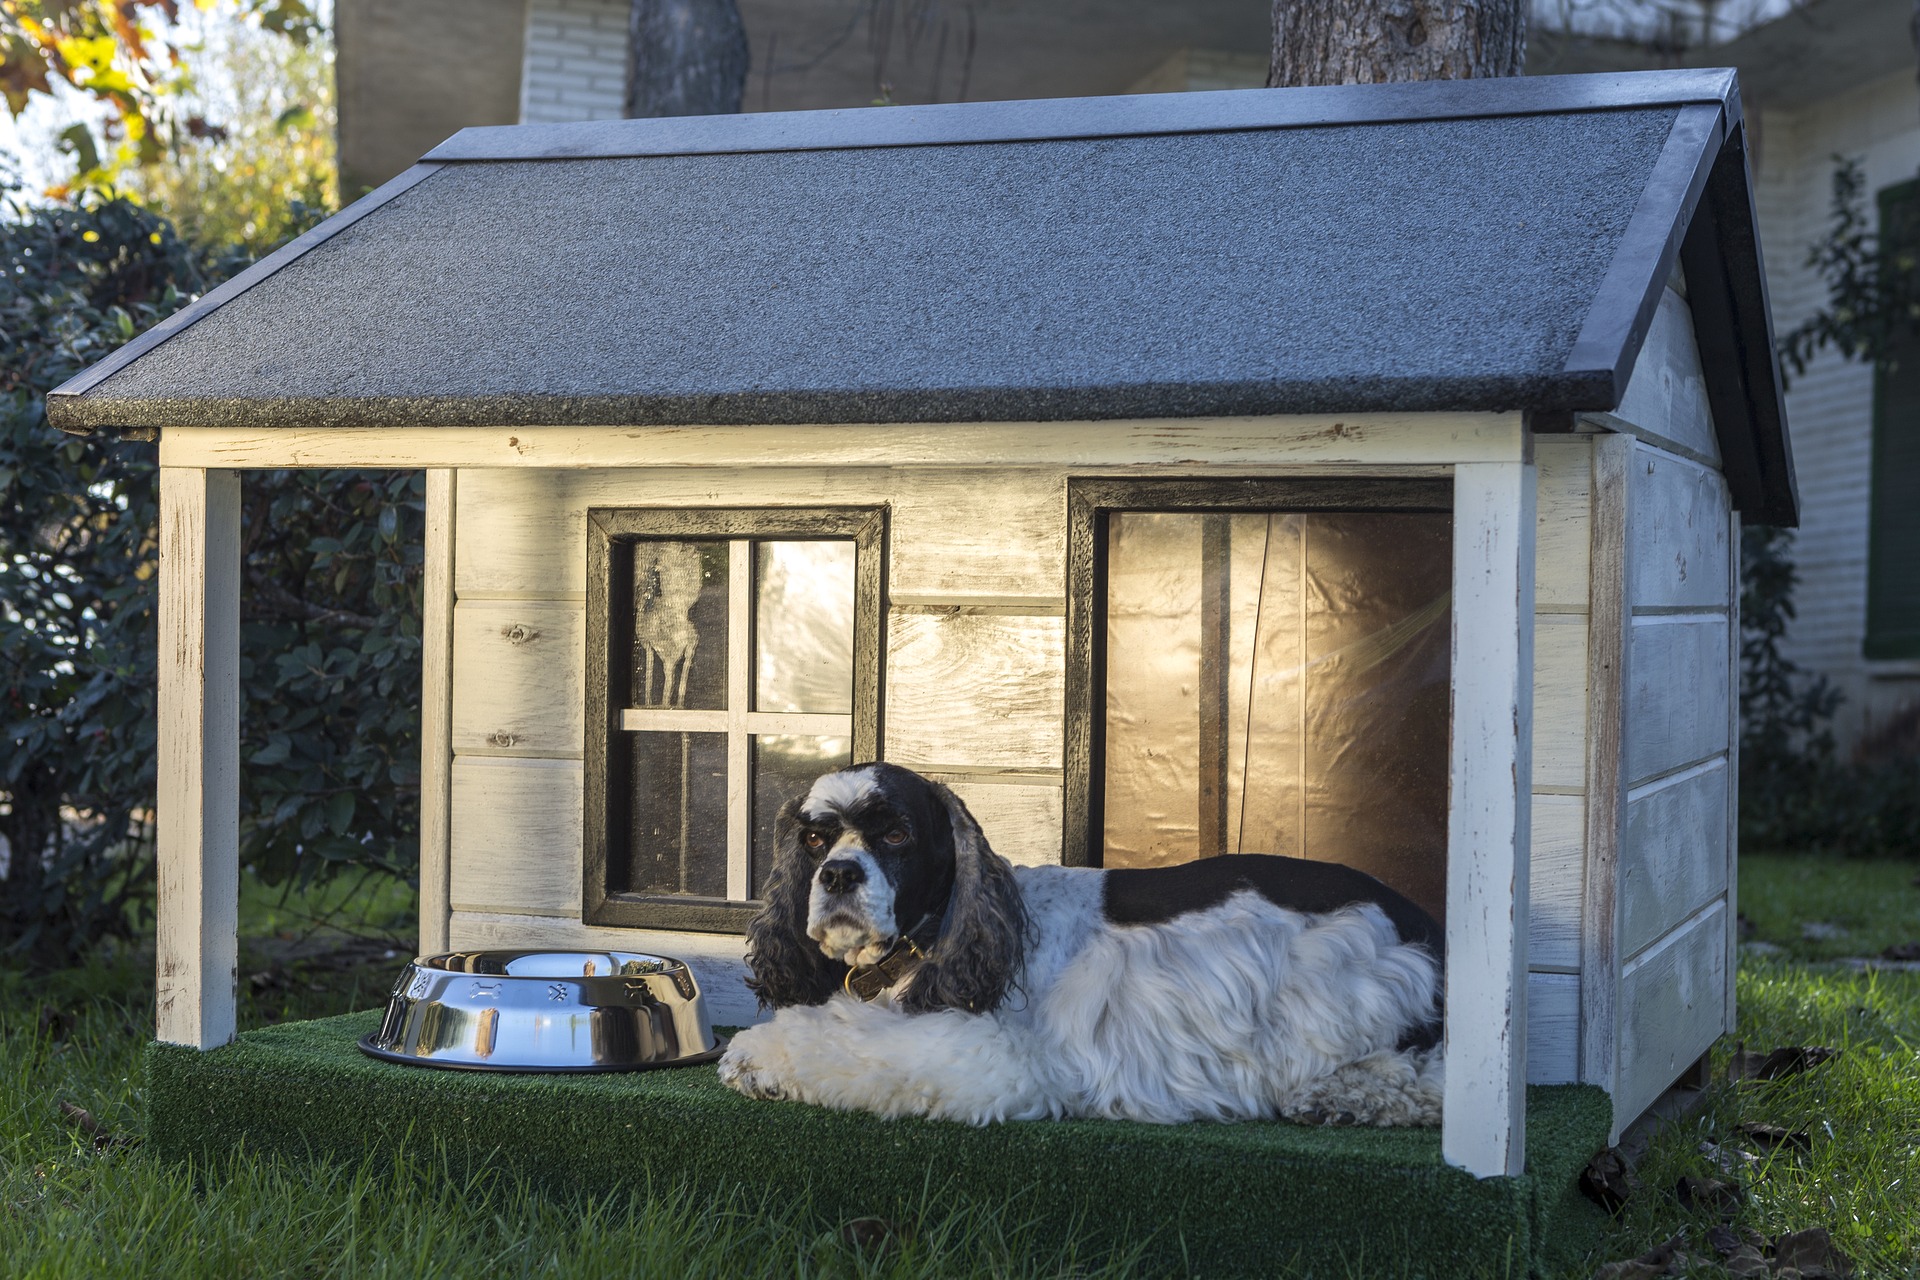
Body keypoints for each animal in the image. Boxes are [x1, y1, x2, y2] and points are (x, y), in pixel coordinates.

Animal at [718, 767, 1443, 1128]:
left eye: (896, 833)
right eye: (814, 839)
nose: (838, 874)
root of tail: (1422, 920)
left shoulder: (992, 1053)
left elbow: (846, 1044)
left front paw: (756, 1057)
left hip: (1341, 990)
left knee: (1424, 1077)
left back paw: (1347, 1100)